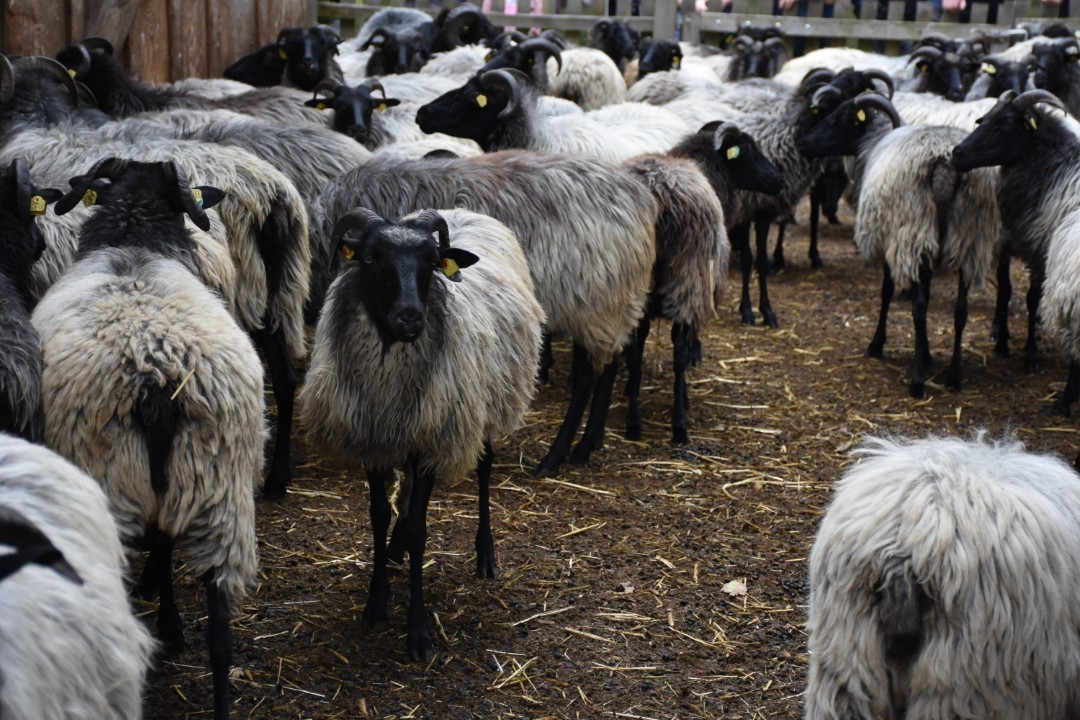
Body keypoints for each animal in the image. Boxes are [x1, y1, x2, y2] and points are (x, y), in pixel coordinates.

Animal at [34, 158, 267, 720]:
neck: (135, 244)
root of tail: (156, 377)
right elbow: (162, 543)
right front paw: (171, 624)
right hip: (220, 487)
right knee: (221, 634)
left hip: (112, 489)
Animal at [300, 207, 544, 662]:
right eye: (371, 258)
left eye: (432, 263)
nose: (411, 317)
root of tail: (464, 211)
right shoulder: (374, 440)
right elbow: (379, 516)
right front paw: (376, 603)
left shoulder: (432, 441)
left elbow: (419, 529)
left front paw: (418, 631)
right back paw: (395, 552)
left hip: (485, 406)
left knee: (485, 468)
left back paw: (486, 554)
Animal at [315, 150, 657, 477]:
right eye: (370, 258)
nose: (409, 317)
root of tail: (638, 195)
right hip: (611, 306)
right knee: (610, 364)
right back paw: (590, 442)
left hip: (597, 305)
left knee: (589, 378)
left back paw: (557, 456)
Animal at [802, 91, 1001, 397]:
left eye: (838, 118)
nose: (805, 143)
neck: (873, 144)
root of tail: (945, 166)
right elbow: (930, 295)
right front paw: (927, 353)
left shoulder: (890, 241)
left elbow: (887, 292)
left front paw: (878, 345)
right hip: (969, 239)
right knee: (960, 310)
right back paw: (954, 376)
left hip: (912, 233)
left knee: (918, 308)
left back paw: (917, 380)